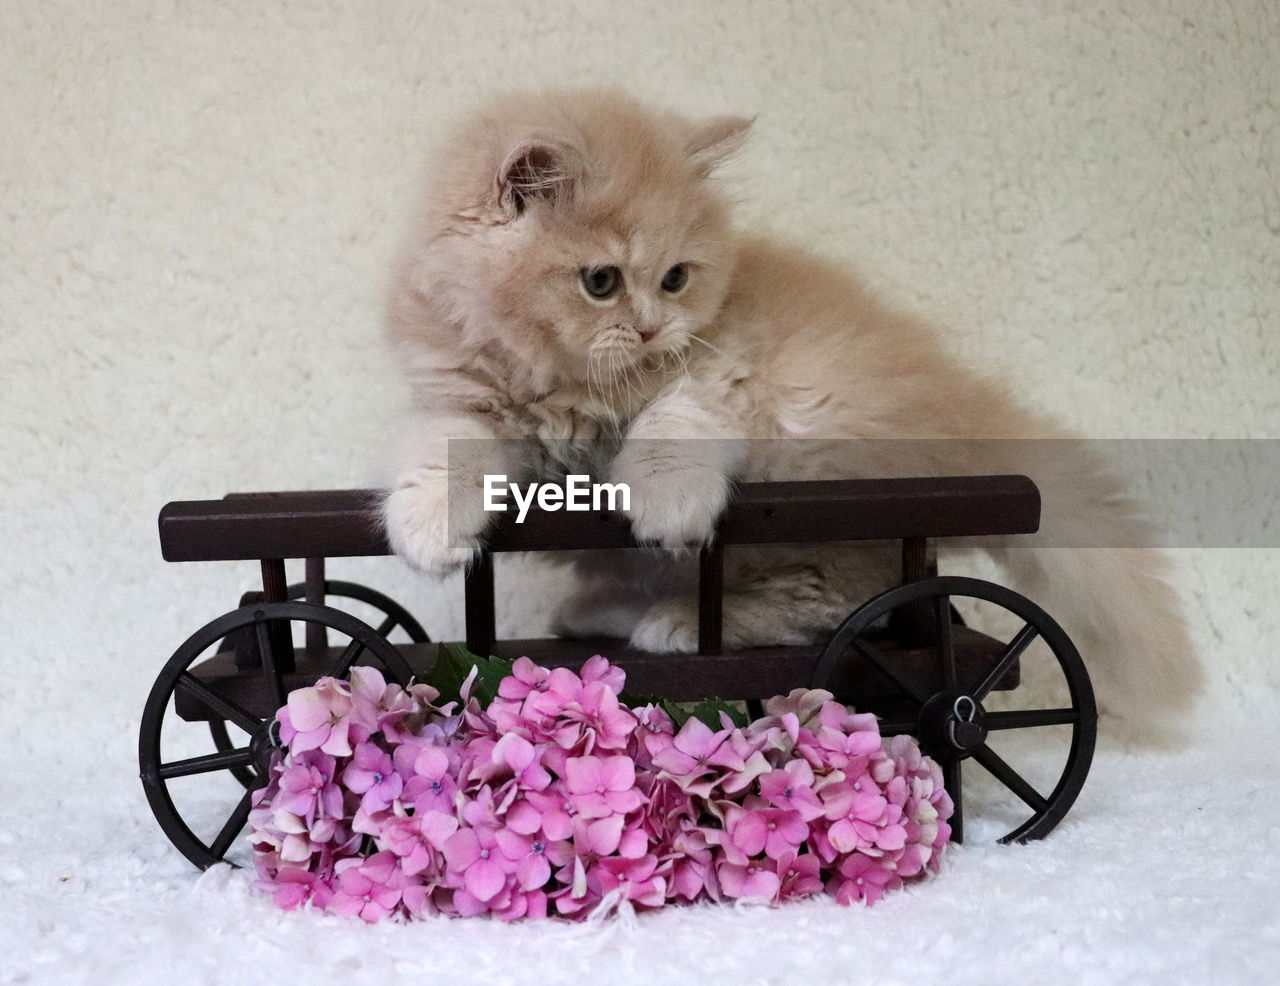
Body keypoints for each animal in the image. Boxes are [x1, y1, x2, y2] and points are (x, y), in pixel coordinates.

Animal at [378, 88, 1198, 737]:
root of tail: (970, 421)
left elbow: (675, 427)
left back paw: (677, 619)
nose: (652, 327)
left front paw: (666, 504)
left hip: (822, 479)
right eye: (601, 281)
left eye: (675, 279)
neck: (574, 387)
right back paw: (608, 611)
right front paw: (426, 527)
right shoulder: (460, 393)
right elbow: (441, 451)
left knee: (844, 603)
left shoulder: (719, 366)